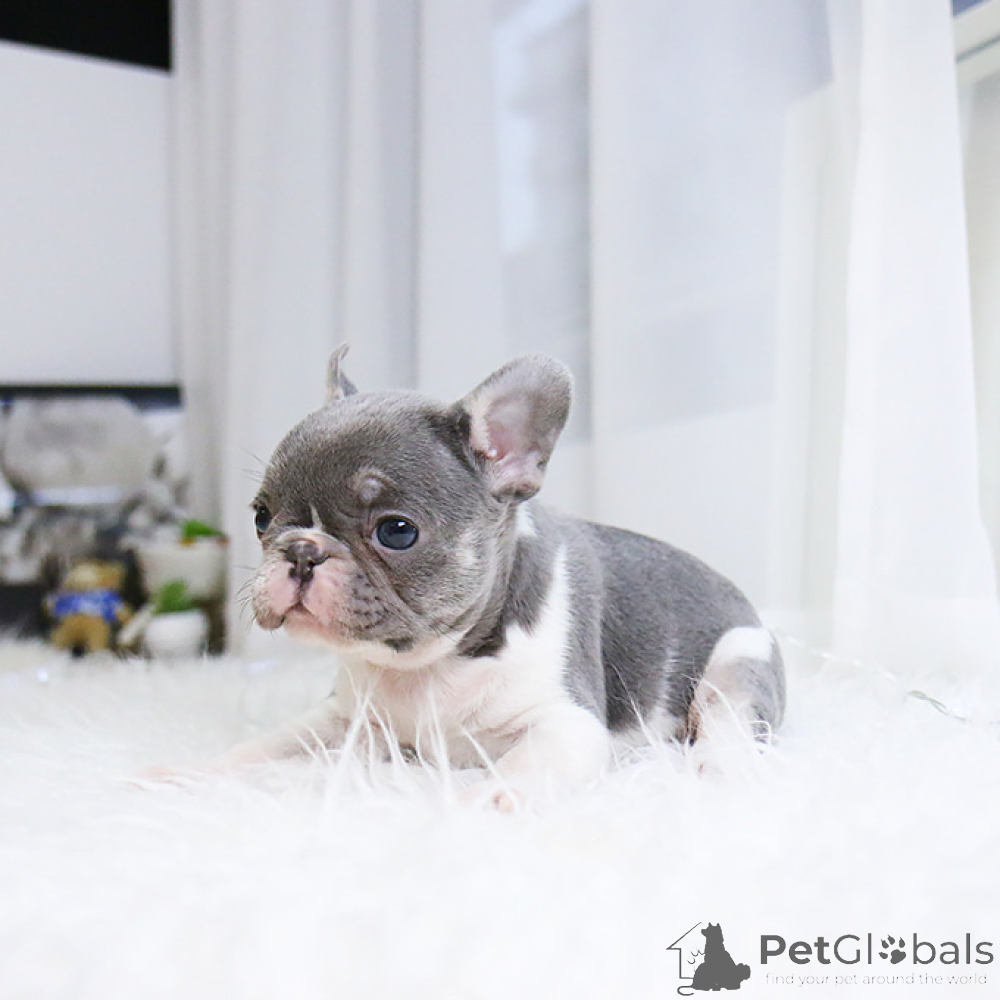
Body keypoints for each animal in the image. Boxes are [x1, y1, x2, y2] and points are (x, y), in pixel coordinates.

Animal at [209, 348, 784, 807]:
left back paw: (718, 764)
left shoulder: (566, 723)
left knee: (731, 718)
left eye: (396, 531)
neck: (428, 664)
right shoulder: (345, 721)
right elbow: (272, 744)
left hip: (737, 659)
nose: (301, 551)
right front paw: (197, 774)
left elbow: (523, 769)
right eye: (261, 517)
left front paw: (480, 801)